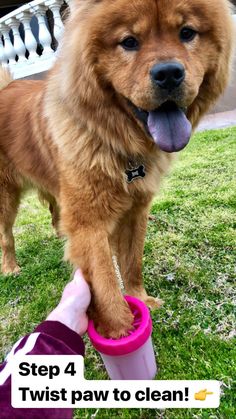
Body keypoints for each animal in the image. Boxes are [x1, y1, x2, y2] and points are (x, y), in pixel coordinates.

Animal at [0, 0, 233, 336]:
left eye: (187, 33)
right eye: (129, 42)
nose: (169, 73)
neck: (118, 143)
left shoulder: (136, 210)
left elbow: (132, 263)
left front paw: (141, 299)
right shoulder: (90, 225)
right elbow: (106, 283)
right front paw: (121, 331)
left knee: (55, 209)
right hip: (7, 198)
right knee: (6, 235)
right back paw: (10, 267)